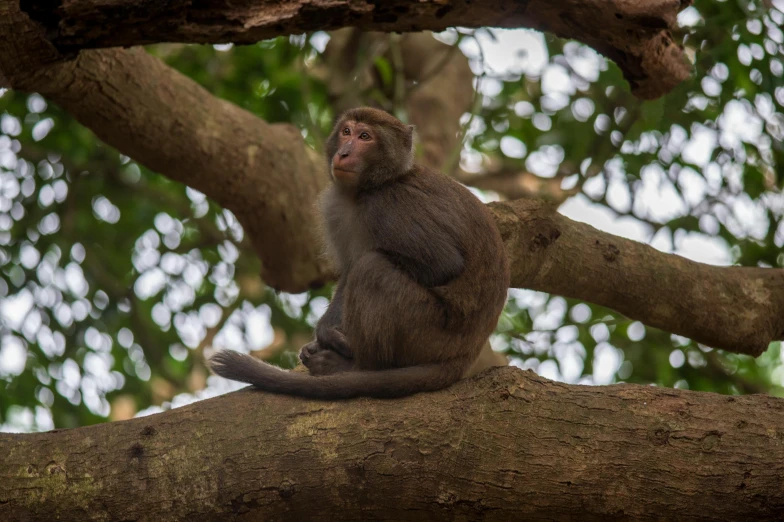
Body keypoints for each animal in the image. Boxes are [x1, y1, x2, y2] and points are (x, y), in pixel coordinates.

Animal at [208, 106, 512, 398]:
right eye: (346, 132)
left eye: (365, 137)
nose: (344, 153)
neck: (370, 187)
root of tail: (466, 354)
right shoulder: (336, 209)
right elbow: (347, 271)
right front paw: (322, 333)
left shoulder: (387, 206)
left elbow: (443, 264)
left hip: (428, 334)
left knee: (372, 269)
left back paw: (358, 367)